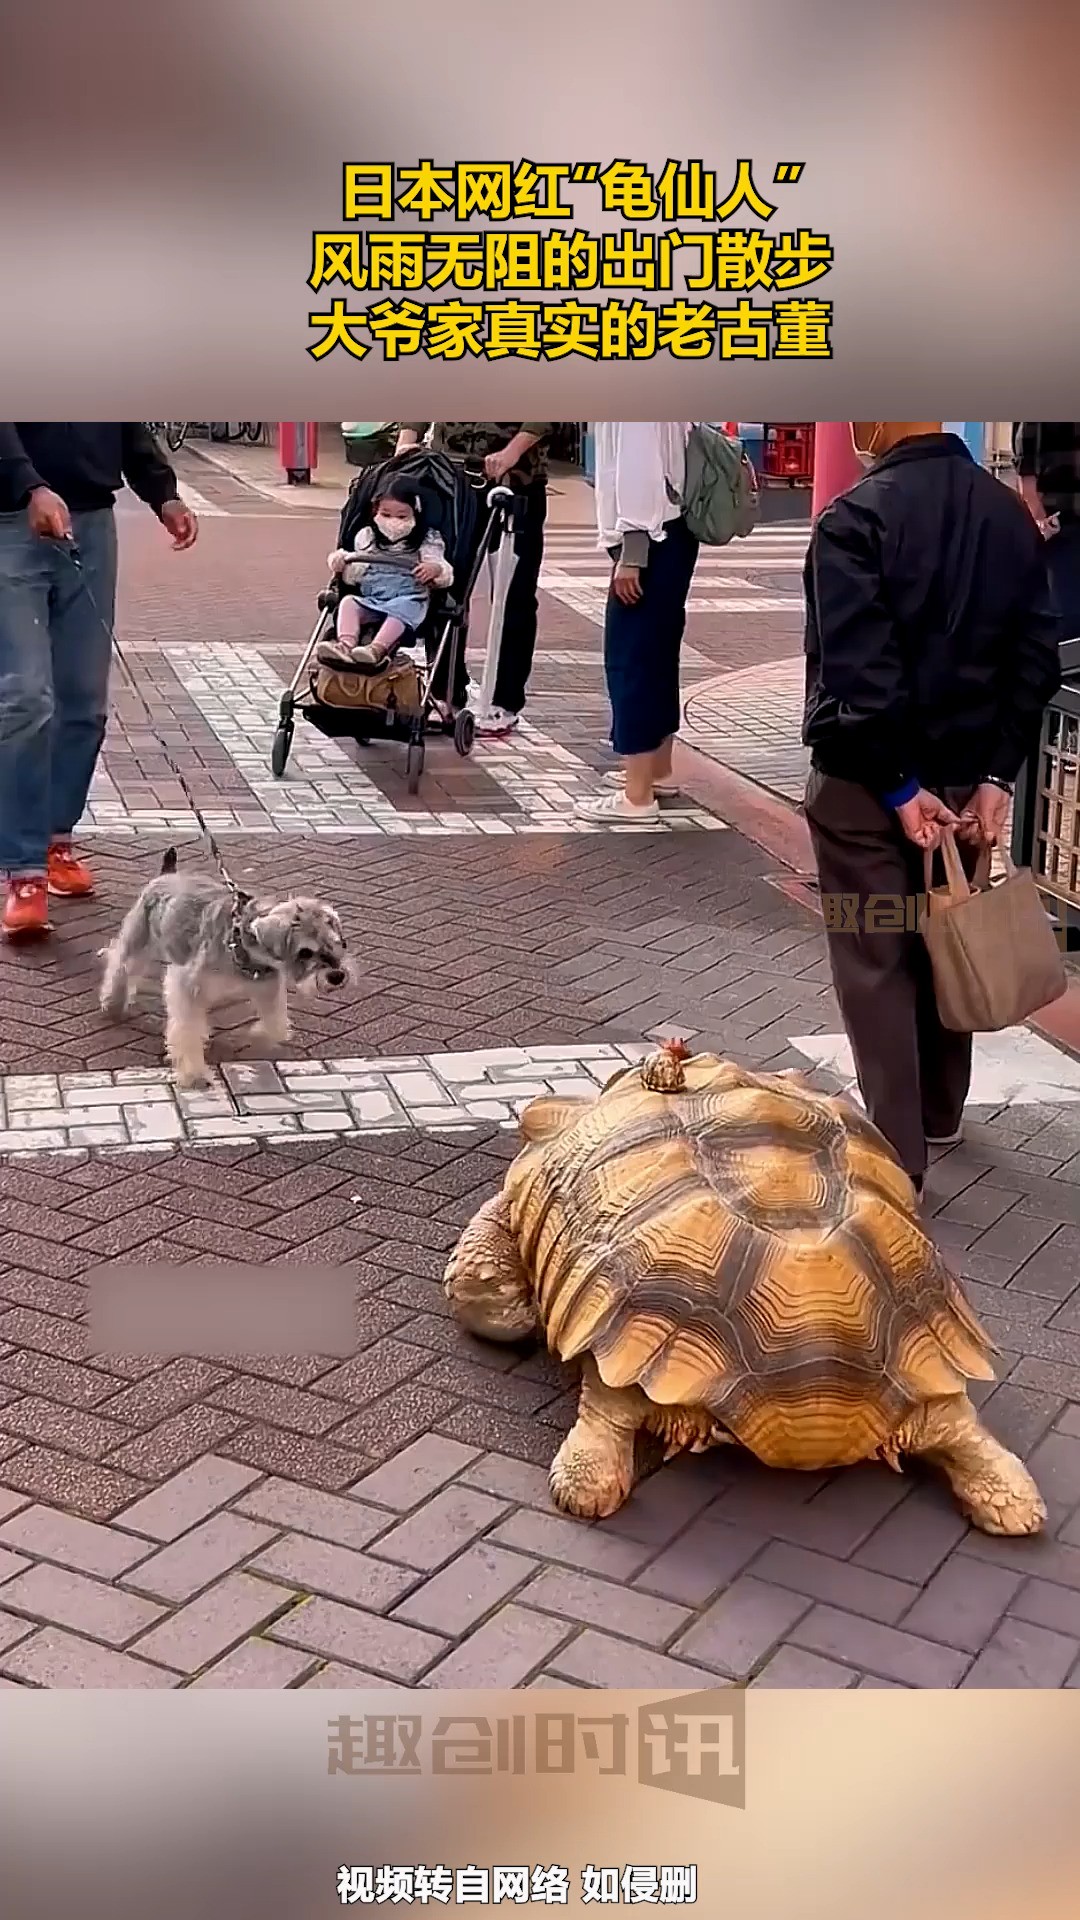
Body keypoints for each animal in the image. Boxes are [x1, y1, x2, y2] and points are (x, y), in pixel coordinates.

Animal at [99, 848, 345, 1090]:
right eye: (305, 951)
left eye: (337, 942)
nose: (337, 976)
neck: (243, 942)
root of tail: (166, 875)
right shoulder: (186, 986)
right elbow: (187, 1030)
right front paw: (194, 1074)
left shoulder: (268, 987)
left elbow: (277, 1027)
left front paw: (253, 1036)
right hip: (138, 939)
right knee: (120, 964)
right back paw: (112, 1002)